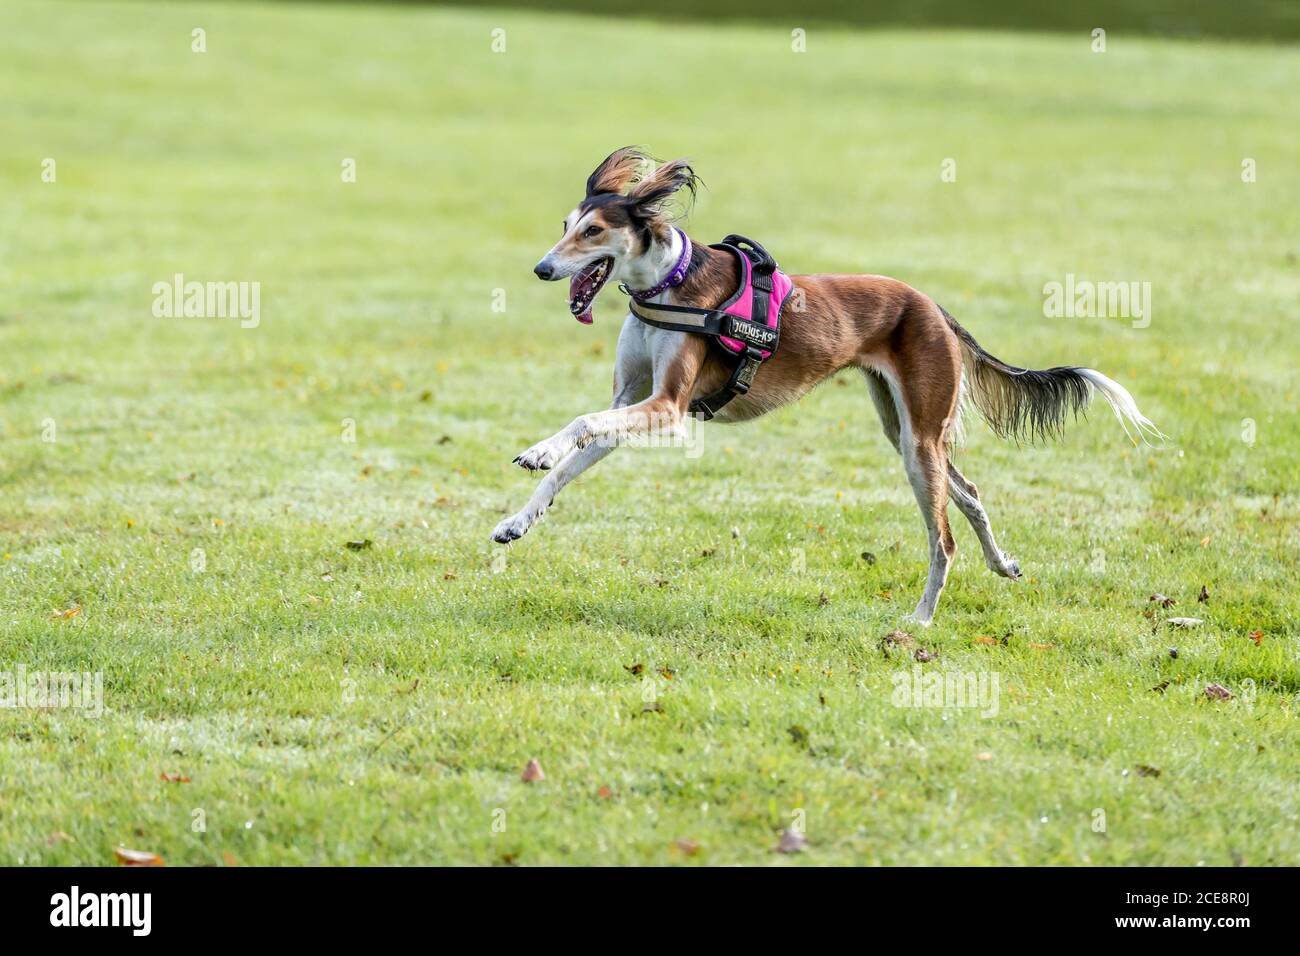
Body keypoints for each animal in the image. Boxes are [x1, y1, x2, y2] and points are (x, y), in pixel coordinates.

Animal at [491, 145, 1164, 624]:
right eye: (565, 224)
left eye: (593, 232)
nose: (542, 269)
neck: (669, 282)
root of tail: (934, 308)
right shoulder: (630, 406)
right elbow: (569, 464)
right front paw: (518, 521)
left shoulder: (667, 408)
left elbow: (577, 427)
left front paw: (537, 450)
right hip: (907, 431)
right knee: (969, 493)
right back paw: (1002, 565)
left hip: (920, 441)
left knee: (942, 538)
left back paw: (919, 621)